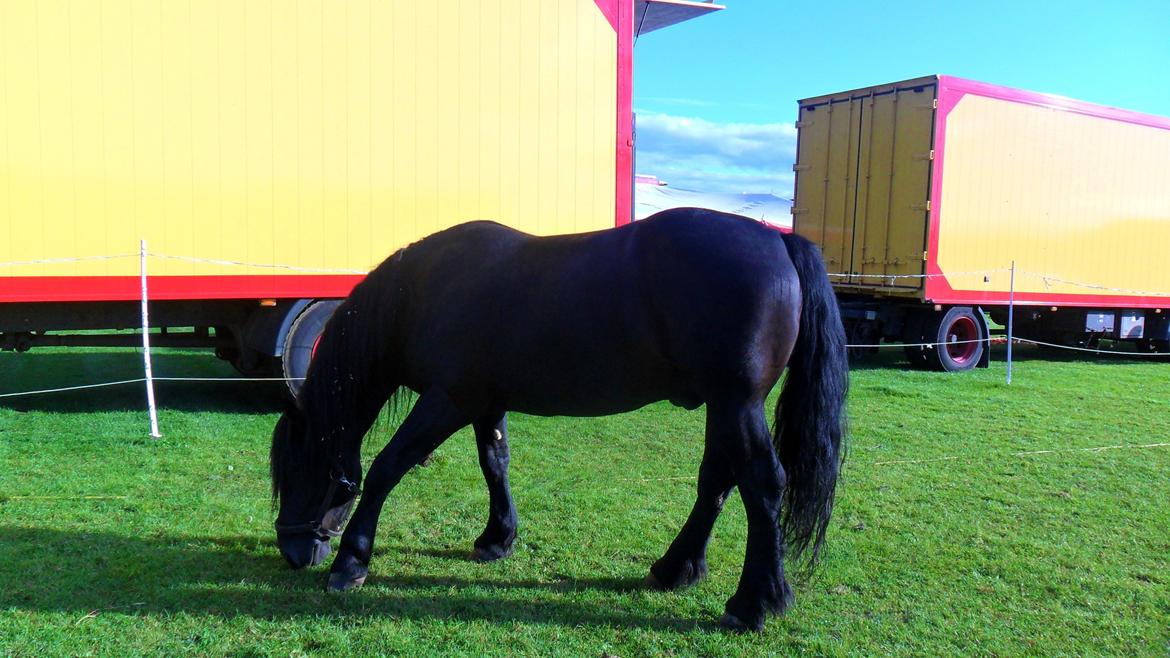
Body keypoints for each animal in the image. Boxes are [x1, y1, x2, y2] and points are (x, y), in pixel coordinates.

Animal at [269, 206, 847, 632]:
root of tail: (777, 241)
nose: (293, 551)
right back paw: (675, 569)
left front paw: (351, 563)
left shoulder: (446, 401)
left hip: (736, 403)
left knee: (761, 484)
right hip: (725, 407)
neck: (420, 294)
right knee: (717, 483)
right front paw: (497, 538)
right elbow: (494, 463)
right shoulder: (484, 402)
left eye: (297, 470)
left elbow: (388, 468)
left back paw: (754, 603)